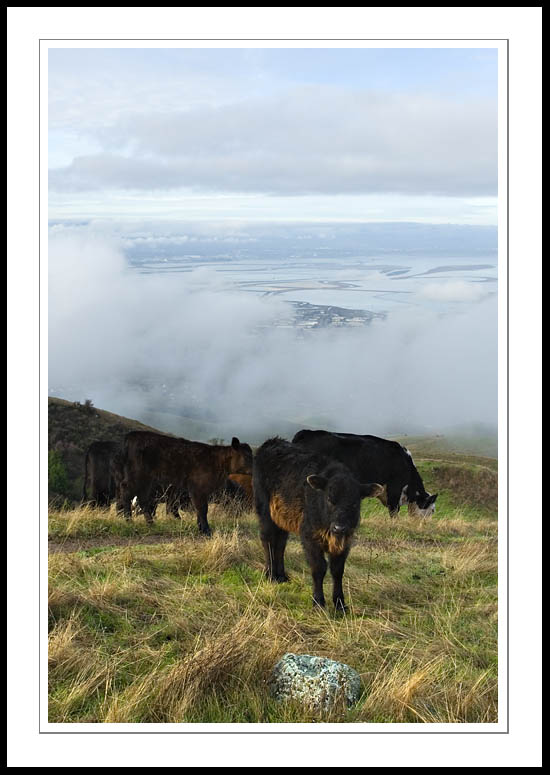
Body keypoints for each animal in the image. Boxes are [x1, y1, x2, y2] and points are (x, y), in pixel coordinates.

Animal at [117, 431, 253, 535]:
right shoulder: (197, 488)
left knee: (143, 498)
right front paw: (206, 530)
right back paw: (128, 520)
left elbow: (199, 509)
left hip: (147, 481)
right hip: (136, 475)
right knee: (126, 491)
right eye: (247, 456)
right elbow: (202, 509)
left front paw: (201, 528)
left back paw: (150, 522)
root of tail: (132, 435)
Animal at [253, 437, 384, 611]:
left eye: (355, 503)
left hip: (282, 518)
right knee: (267, 540)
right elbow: (319, 567)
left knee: (280, 543)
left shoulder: (346, 540)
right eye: (329, 498)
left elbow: (337, 570)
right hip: (265, 510)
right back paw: (271, 575)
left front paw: (340, 604)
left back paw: (282, 576)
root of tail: (271, 442)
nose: (339, 527)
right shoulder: (309, 536)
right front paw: (318, 602)